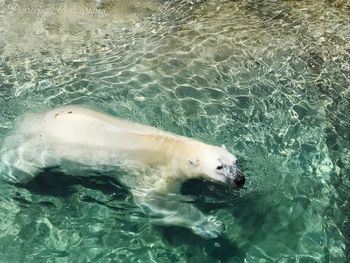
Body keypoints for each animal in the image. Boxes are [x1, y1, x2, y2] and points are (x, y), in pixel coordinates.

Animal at [0, 105, 246, 239]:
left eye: (235, 161)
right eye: (219, 167)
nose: (240, 180)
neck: (175, 149)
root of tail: (29, 121)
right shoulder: (151, 174)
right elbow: (157, 203)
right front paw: (212, 226)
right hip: (40, 148)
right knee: (21, 165)